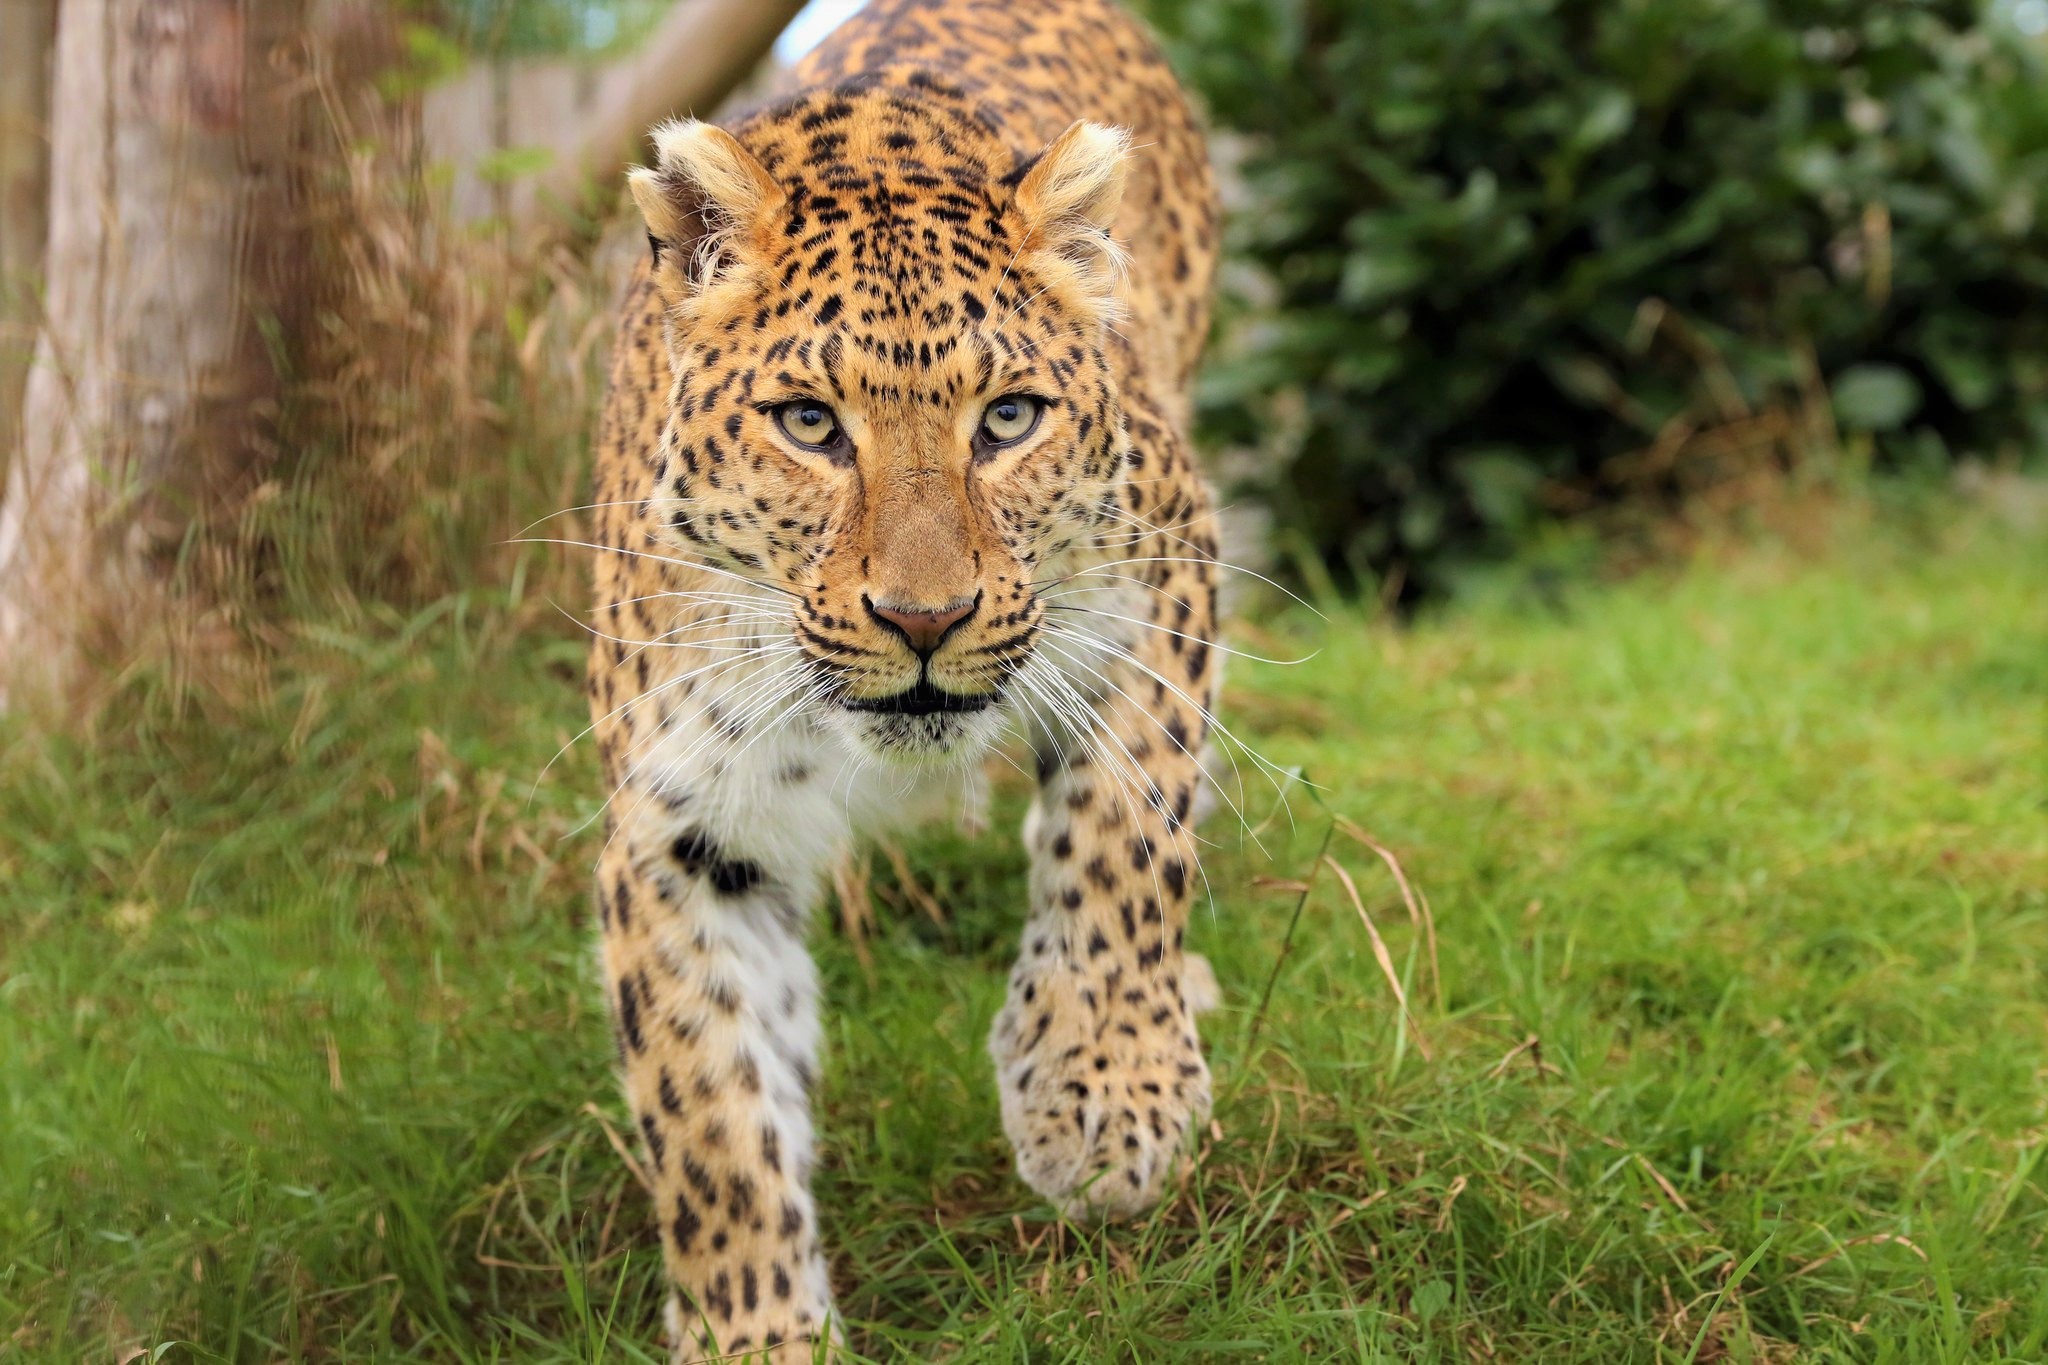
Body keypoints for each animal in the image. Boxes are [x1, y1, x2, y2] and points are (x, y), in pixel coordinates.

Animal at [589, 0, 1228, 1350]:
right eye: (809, 424)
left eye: (1008, 419)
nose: (925, 618)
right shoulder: (677, 817)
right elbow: (705, 1094)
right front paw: (756, 1335)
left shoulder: (1168, 572)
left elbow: (1123, 835)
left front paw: (1105, 1095)